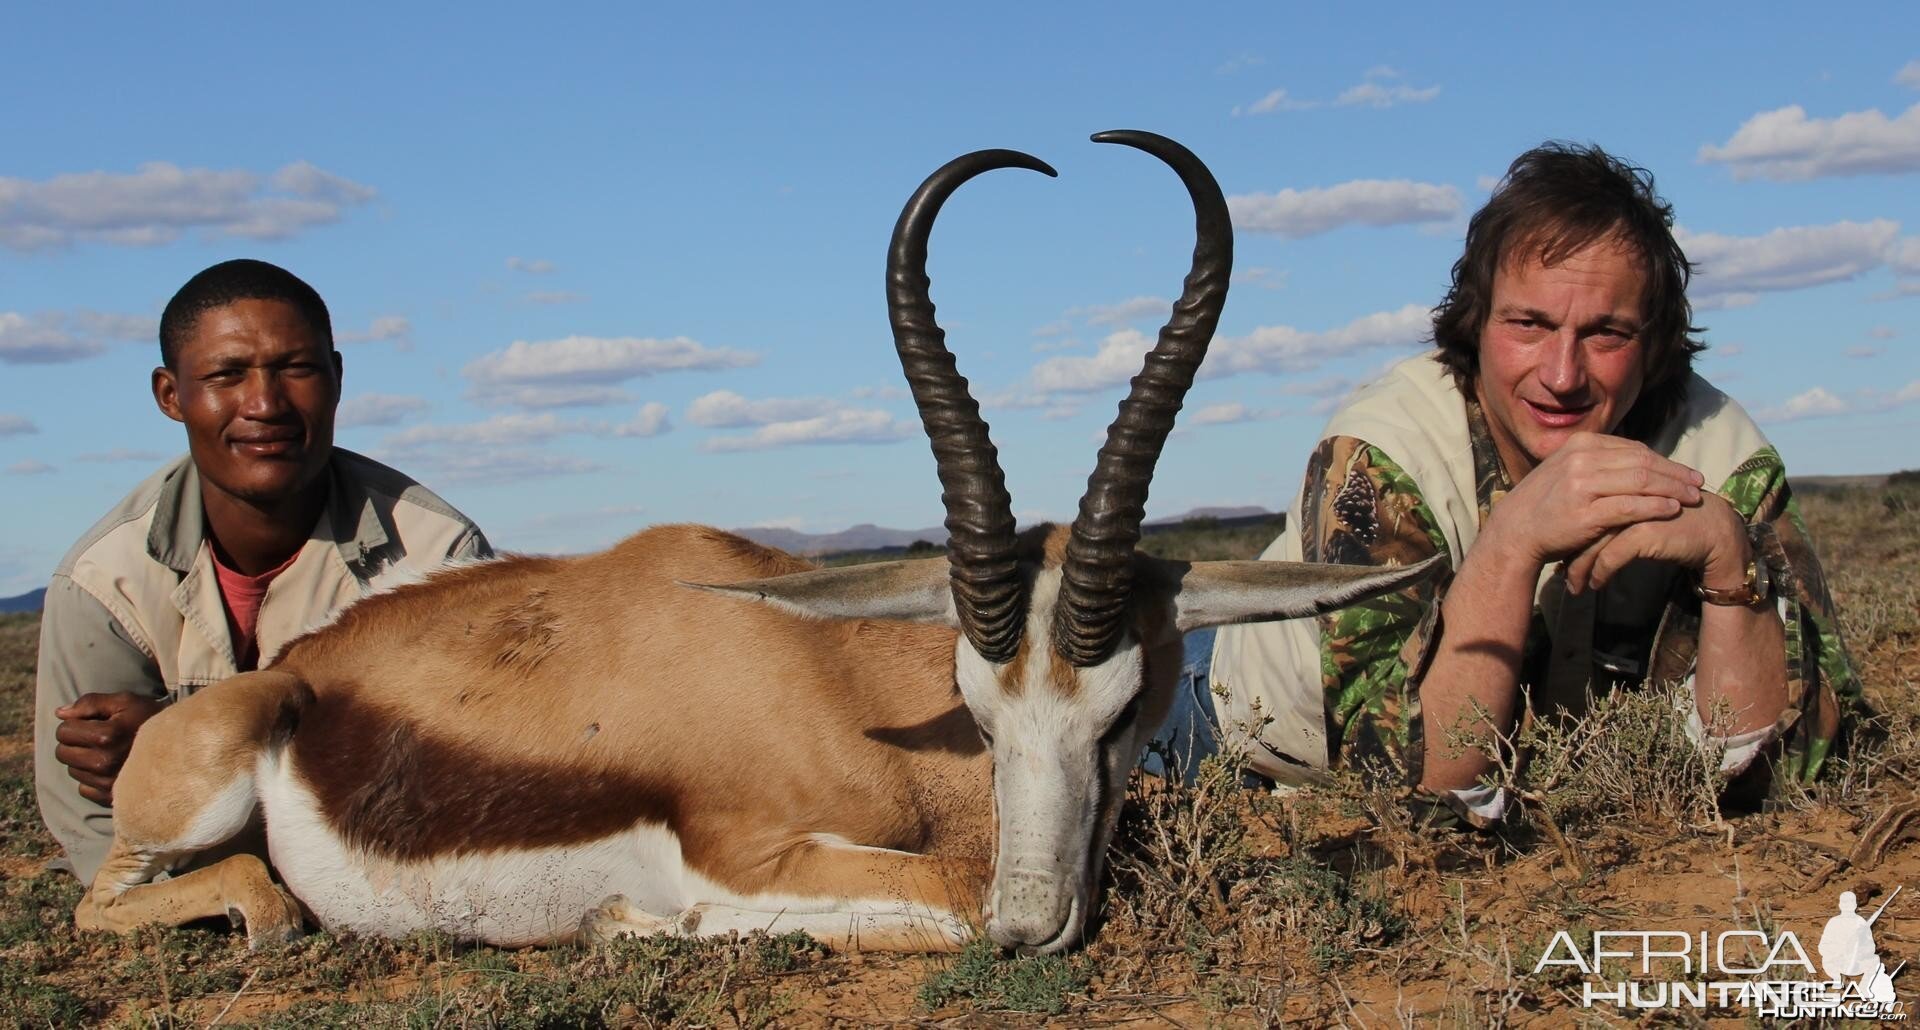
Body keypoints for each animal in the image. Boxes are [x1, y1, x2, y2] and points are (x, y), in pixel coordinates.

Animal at [74, 130, 1436, 956]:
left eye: (1123, 715)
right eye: (980, 712)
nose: (1030, 926)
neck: (833, 686)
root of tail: (299, 678)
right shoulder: (748, 858)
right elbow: (913, 893)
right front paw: (631, 926)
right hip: (179, 813)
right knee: (121, 899)